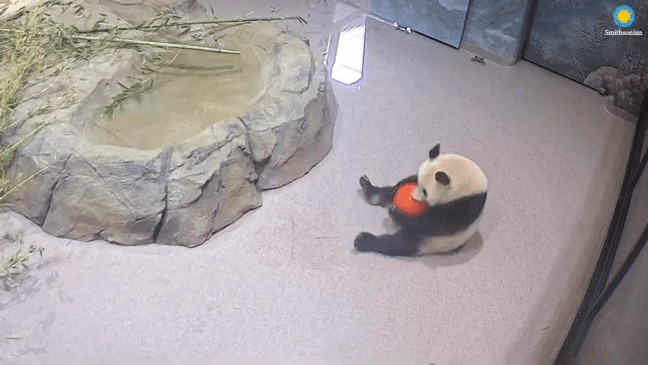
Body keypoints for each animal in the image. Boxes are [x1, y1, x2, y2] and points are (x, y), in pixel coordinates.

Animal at [354, 143, 486, 256]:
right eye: (417, 180)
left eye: (425, 192)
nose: (412, 196)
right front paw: (400, 185)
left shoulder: (466, 205)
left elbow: (432, 223)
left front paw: (396, 213)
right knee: (385, 193)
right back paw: (369, 188)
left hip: (426, 242)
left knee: (395, 244)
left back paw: (363, 241)